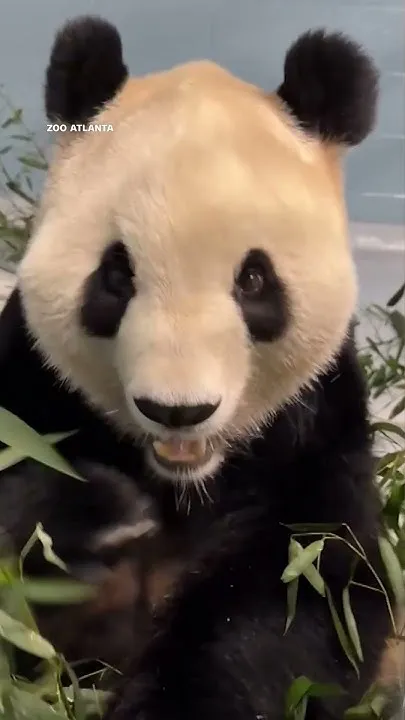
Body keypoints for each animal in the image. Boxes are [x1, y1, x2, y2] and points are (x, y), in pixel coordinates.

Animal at [0, 14, 403, 719]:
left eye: (254, 279)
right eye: (115, 275)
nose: (178, 411)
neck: (180, 480)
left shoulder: (318, 423)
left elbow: (312, 596)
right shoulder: (29, 373)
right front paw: (104, 514)